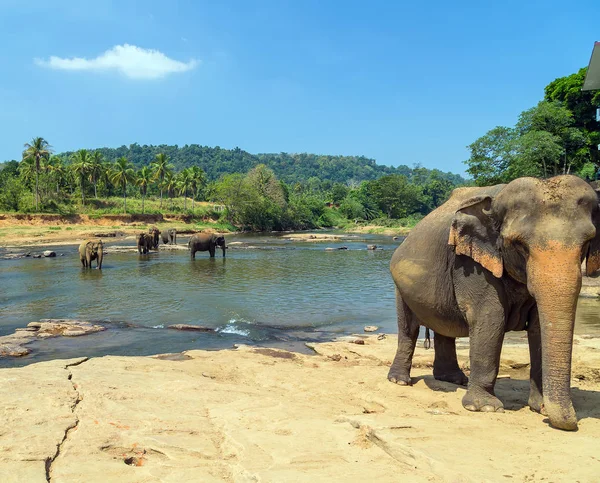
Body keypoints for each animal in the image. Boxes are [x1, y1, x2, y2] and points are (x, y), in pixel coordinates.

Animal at [386, 176, 600, 432]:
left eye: (587, 243)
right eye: (520, 245)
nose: (573, 422)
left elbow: (538, 327)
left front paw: (539, 408)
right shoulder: (469, 263)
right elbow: (490, 317)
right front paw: (484, 408)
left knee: (444, 327)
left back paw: (453, 379)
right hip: (400, 286)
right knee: (408, 328)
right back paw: (399, 381)